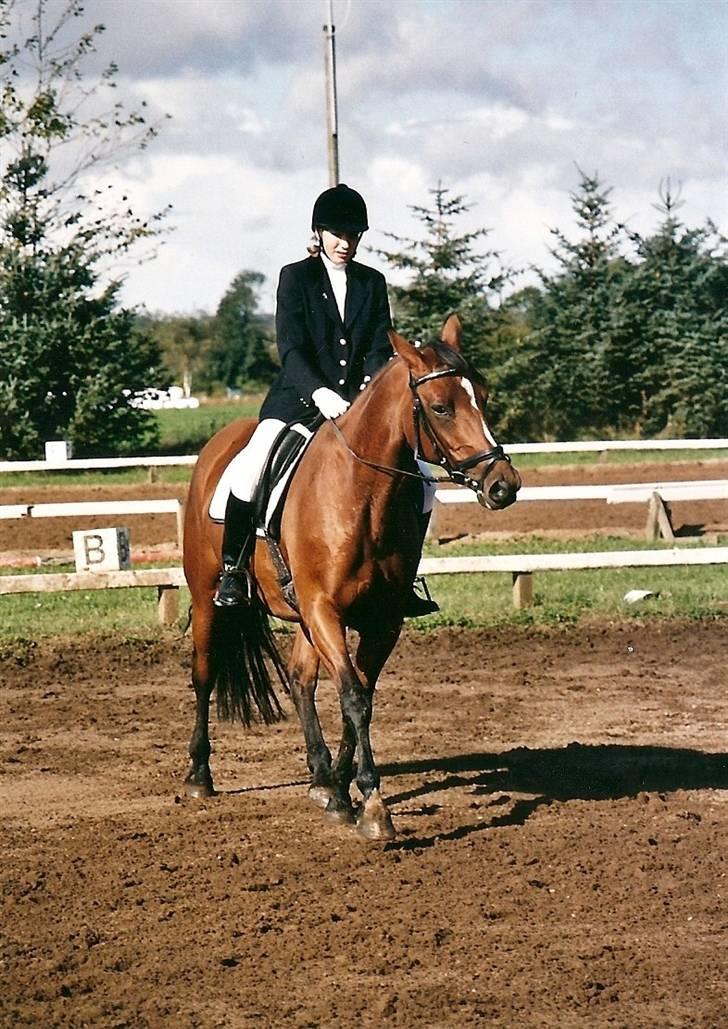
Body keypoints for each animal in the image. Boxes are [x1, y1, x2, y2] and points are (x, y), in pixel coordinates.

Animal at [185, 316, 521, 839]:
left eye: (483, 396)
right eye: (441, 407)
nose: (503, 485)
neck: (363, 494)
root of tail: (218, 446)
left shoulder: (382, 621)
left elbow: (359, 697)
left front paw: (343, 792)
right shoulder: (325, 610)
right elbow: (353, 698)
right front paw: (375, 808)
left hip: (303, 616)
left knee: (300, 680)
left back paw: (321, 778)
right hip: (208, 598)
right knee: (204, 673)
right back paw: (201, 775)